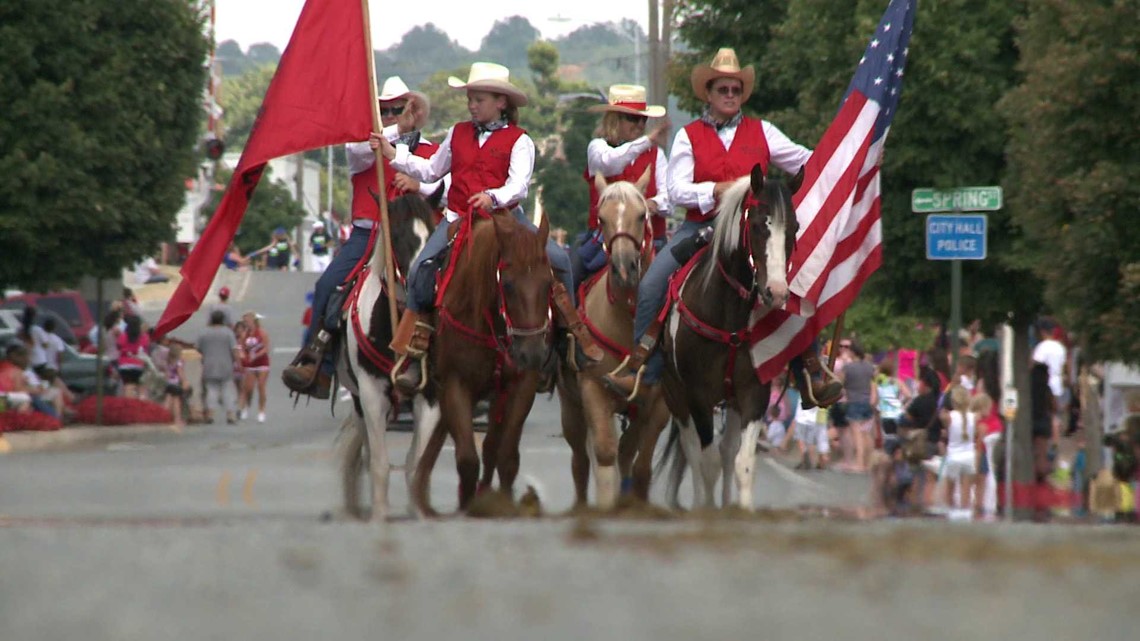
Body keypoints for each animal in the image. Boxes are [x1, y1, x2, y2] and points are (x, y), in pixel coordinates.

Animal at [337, 193, 435, 520]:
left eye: (434, 232)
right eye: (398, 236)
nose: (423, 285)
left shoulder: (431, 396)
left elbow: (418, 460)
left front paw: (419, 511)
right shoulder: (370, 394)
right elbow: (378, 461)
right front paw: (379, 514)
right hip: (358, 402)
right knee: (369, 451)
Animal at [412, 212, 554, 510]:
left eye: (548, 283)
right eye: (507, 285)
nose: (533, 353)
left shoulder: (521, 387)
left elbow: (506, 457)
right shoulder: (454, 385)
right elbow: (467, 459)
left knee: (491, 448)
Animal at [551, 171, 665, 508]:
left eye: (642, 215)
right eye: (601, 218)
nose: (624, 268)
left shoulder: (658, 405)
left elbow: (640, 464)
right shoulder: (592, 390)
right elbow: (603, 453)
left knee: (627, 455)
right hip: (570, 406)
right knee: (580, 459)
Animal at [647, 165, 798, 508]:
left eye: (794, 228)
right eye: (757, 225)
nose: (776, 292)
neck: (729, 318)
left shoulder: (754, 394)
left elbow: (742, 463)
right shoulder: (698, 396)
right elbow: (707, 462)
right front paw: (706, 508)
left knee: (727, 452)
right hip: (676, 395)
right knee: (691, 449)